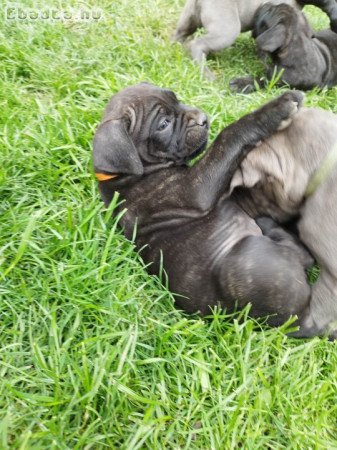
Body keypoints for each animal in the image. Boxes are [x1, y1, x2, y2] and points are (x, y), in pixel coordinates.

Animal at [92, 83, 312, 330]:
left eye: (176, 99)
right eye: (164, 124)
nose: (203, 119)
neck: (124, 176)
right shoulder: (195, 190)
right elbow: (227, 139)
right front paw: (277, 109)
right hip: (245, 258)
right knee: (304, 257)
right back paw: (270, 226)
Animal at [172, 0, 336, 78]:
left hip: (188, 18)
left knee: (180, 34)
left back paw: (174, 50)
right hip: (227, 30)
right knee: (197, 44)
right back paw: (205, 73)